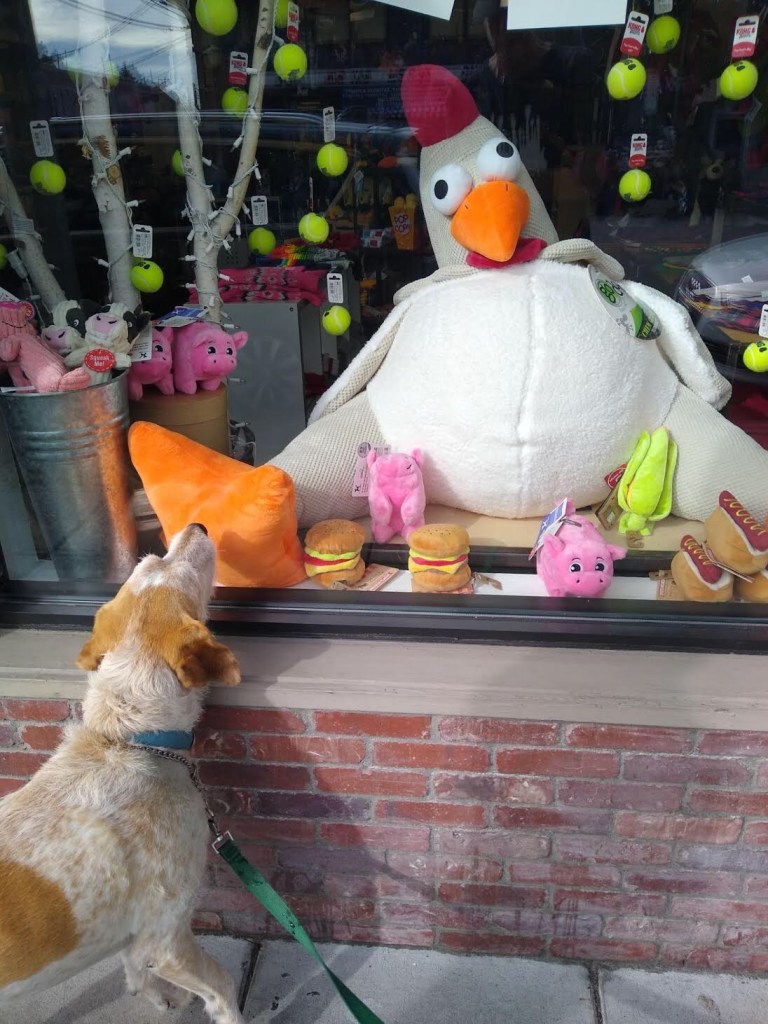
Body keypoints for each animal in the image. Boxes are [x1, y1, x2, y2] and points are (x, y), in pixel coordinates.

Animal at [0, 523, 245, 1023]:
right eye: (181, 574)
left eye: (150, 562)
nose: (197, 527)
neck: (126, 736)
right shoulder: (167, 934)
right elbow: (222, 988)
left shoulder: (136, 934)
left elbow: (134, 965)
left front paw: (160, 997)